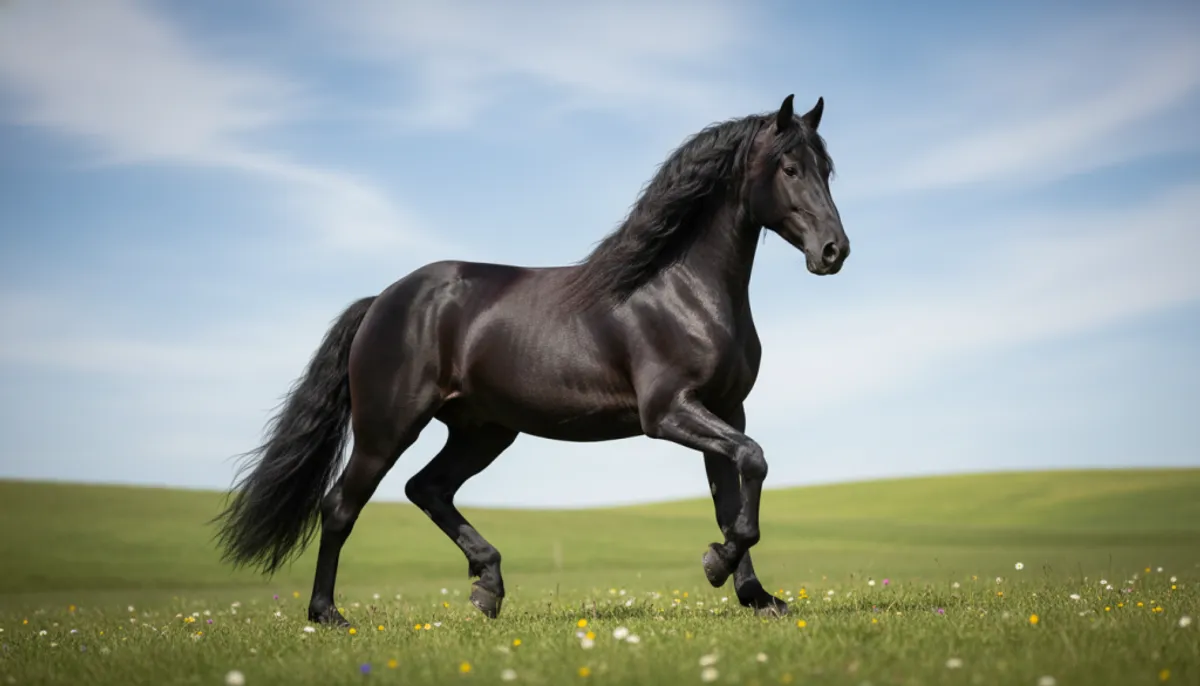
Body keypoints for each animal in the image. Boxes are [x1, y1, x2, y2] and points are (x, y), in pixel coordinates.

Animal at [213, 94, 850, 625]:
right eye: (789, 168)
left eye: (826, 169)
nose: (833, 251)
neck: (680, 288)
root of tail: (382, 301)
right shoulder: (669, 412)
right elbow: (755, 463)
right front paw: (719, 567)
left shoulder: (725, 410)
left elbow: (733, 495)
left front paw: (755, 595)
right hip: (386, 428)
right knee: (342, 506)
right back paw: (328, 614)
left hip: (484, 430)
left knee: (427, 488)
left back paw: (487, 587)